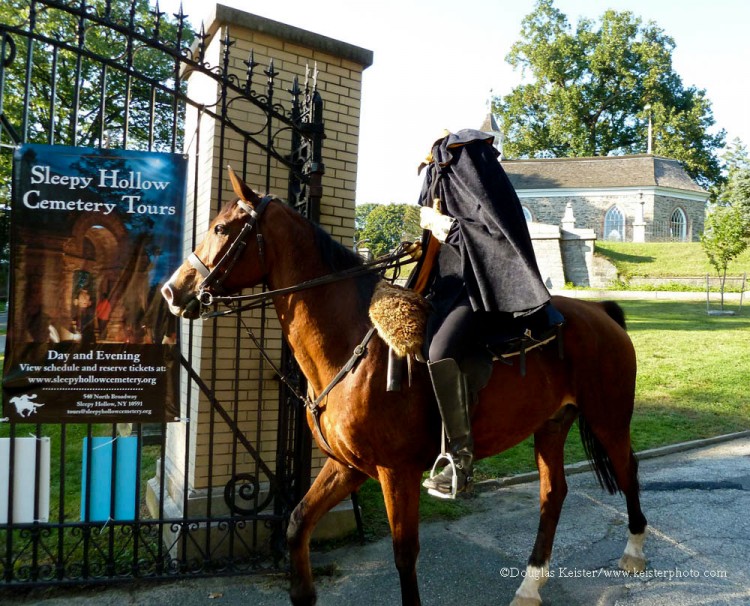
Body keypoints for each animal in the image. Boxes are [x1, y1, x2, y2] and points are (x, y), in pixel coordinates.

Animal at [162, 171, 648, 606]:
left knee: (628, 470)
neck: (353, 346)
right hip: (550, 426)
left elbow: (404, 554)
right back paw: (529, 586)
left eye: (221, 228)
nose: (171, 291)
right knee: (553, 494)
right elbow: (298, 522)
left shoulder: (396, 472)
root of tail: (601, 313)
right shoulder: (348, 466)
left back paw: (634, 553)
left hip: (609, 419)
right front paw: (302, 592)